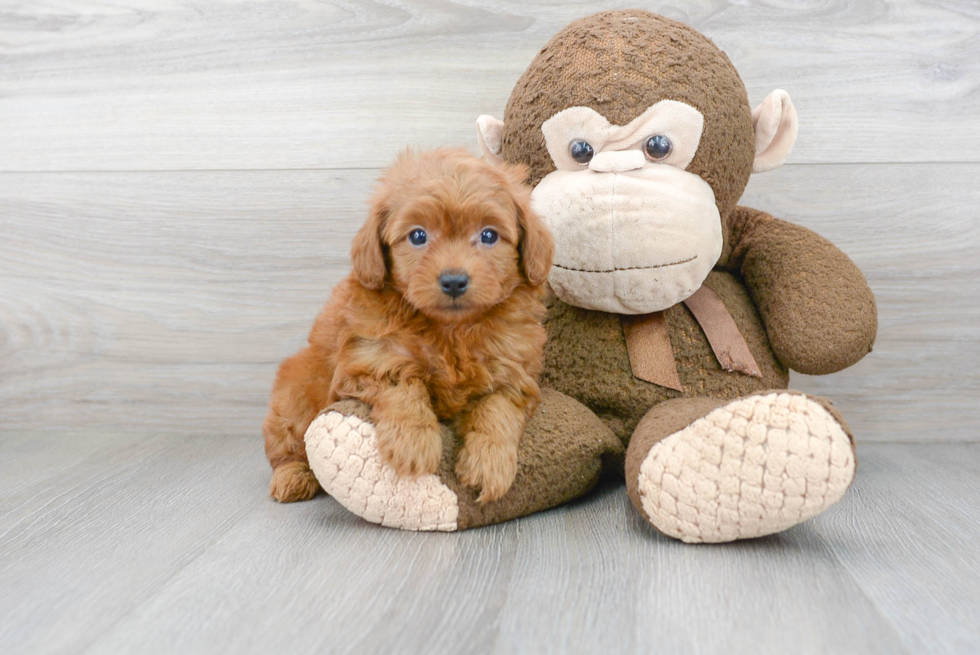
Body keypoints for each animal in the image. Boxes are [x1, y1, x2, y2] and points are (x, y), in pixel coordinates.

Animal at [262, 149, 552, 504]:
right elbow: (404, 385)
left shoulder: (513, 369)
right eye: (418, 236)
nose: (454, 281)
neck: (451, 330)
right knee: (287, 444)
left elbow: (497, 410)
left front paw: (490, 463)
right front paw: (412, 444)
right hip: (295, 393)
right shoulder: (371, 358)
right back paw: (292, 477)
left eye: (488, 235)